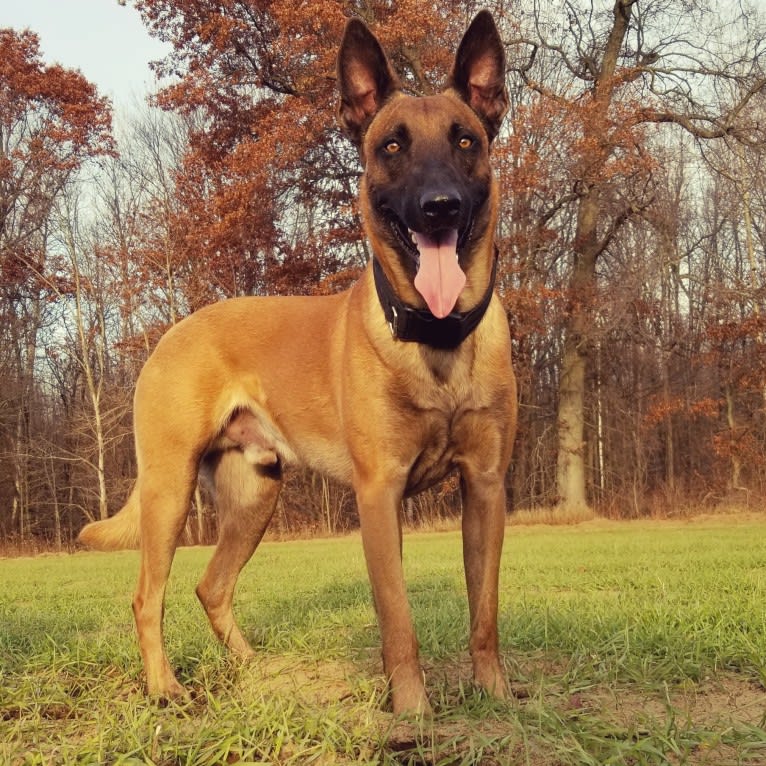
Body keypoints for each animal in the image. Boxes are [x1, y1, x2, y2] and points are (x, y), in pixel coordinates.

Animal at [78, 9, 520, 716]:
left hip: (255, 496)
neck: (436, 336)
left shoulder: (484, 488)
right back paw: (166, 688)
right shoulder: (379, 494)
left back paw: (255, 671)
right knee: (148, 596)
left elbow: (485, 614)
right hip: (169, 491)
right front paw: (414, 713)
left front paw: (498, 700)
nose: (440, 207)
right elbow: (398, 621)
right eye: (391, 146)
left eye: (465, 141)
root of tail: (174, 331)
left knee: (212, 586)